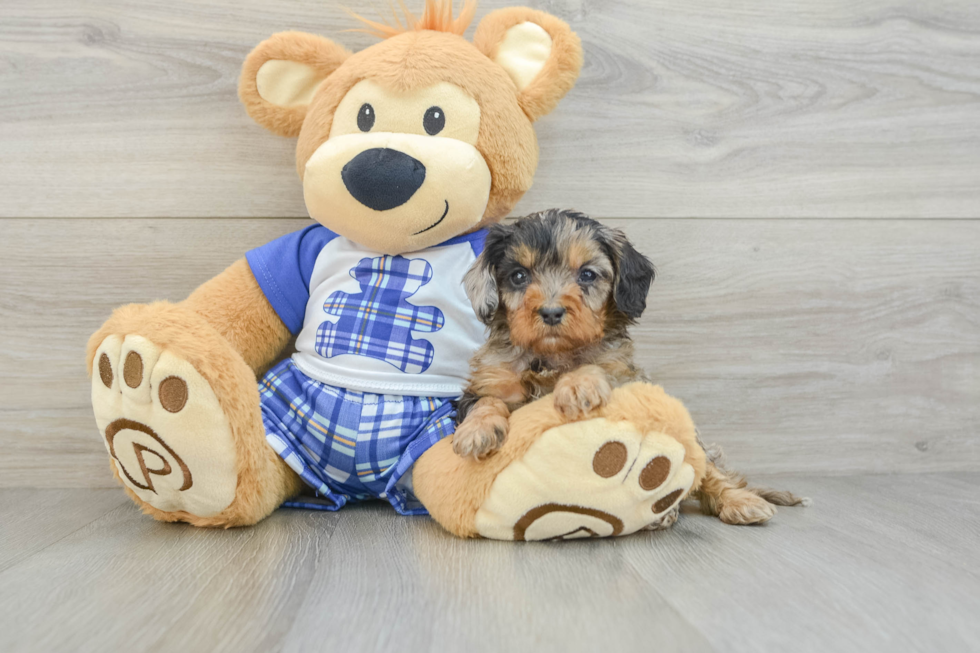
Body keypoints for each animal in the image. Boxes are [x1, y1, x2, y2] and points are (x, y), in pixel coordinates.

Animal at [452, 209, 804, 524]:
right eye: (518, 276)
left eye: (587, 275)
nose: (551, 312)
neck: (552, 356)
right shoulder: (488, 381)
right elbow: (485, 401)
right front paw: (476, 431)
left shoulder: (623, 376)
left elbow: (594, 368)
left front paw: (577, 385)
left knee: (710, 473)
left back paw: (737, 502)